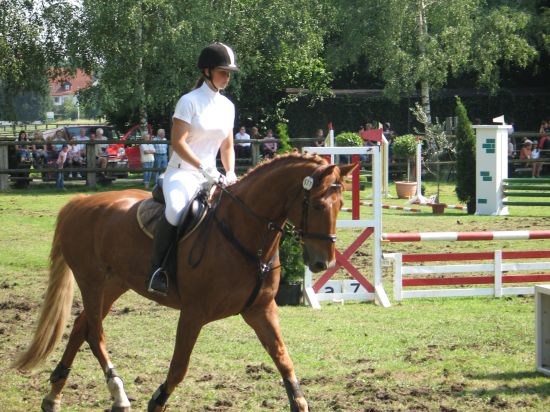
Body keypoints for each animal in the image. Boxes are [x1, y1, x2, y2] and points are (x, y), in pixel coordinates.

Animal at [12, 152, 355, 412]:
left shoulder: (261, 309)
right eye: (319, 205)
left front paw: (299, 401)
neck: (243, 233)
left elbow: (283, 359)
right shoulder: (193, 313)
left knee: (82, 326)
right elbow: (179, 367)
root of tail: (80, 202)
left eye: (341, 206)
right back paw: (118, 394)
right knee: (95, 333)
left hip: (114, 284)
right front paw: (157, 400)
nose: (322, 262)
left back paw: (54, 395)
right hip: (92, 280)